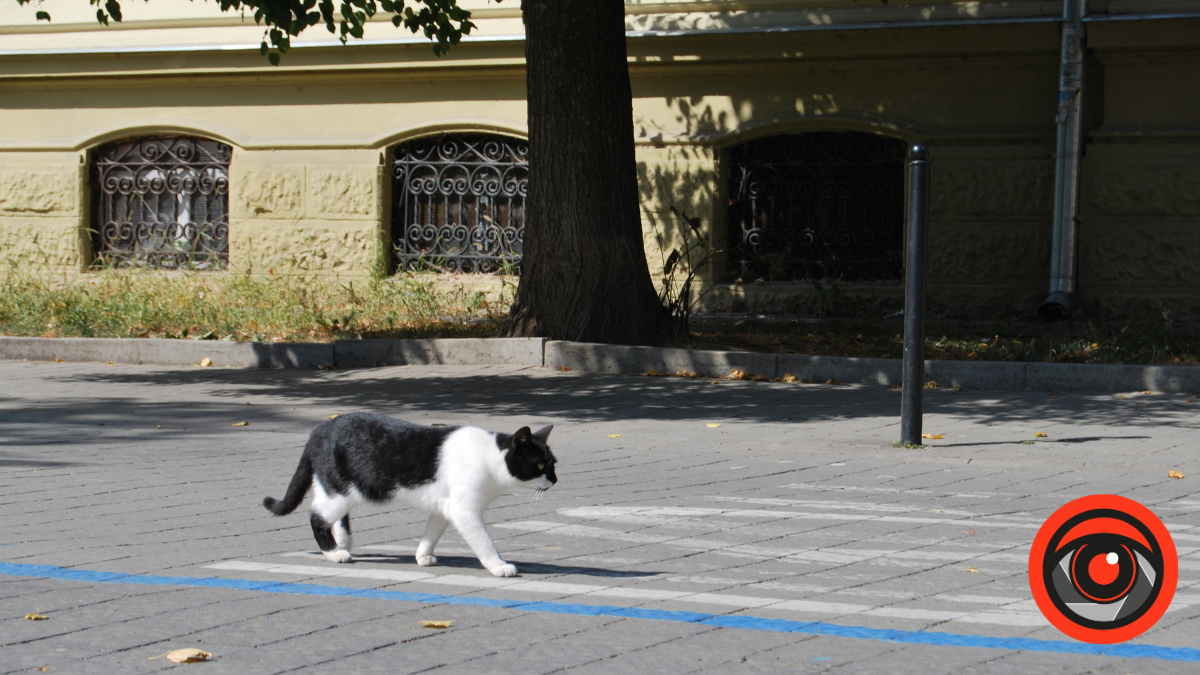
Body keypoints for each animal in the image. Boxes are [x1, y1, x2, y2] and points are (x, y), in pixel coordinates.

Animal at [262, 413, 552, 576]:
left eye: (553, 464)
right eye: (540, 465)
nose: (555, 479)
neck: (488, 456)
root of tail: (320, 429)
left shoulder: (445, 508)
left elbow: (431, 534)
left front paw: (422, 556)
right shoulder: (464, 511)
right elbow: (484, 543)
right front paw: (499, 566)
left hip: (343, 491)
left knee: (335, 516)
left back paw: (342, 542)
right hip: (340, 491)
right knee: (316, 517)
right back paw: (334, 553)